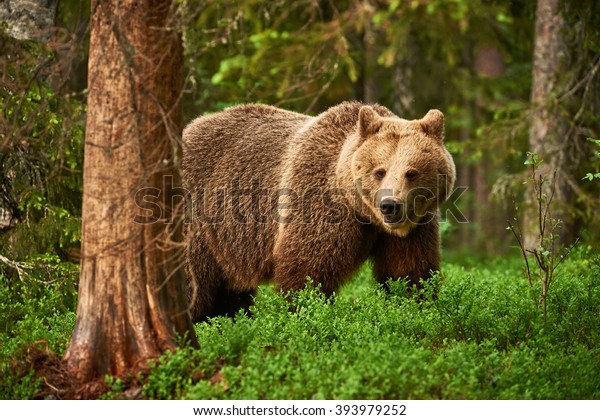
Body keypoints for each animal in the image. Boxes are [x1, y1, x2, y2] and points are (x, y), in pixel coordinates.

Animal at [183, 101, 454, 322]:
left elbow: (408, 272)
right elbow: (308, 271)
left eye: (412, 172)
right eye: (380, 171)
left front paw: (414, 307)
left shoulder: (414, 229)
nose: (390, 205)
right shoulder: (318, 203)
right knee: (195, 285)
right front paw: (304, 313)